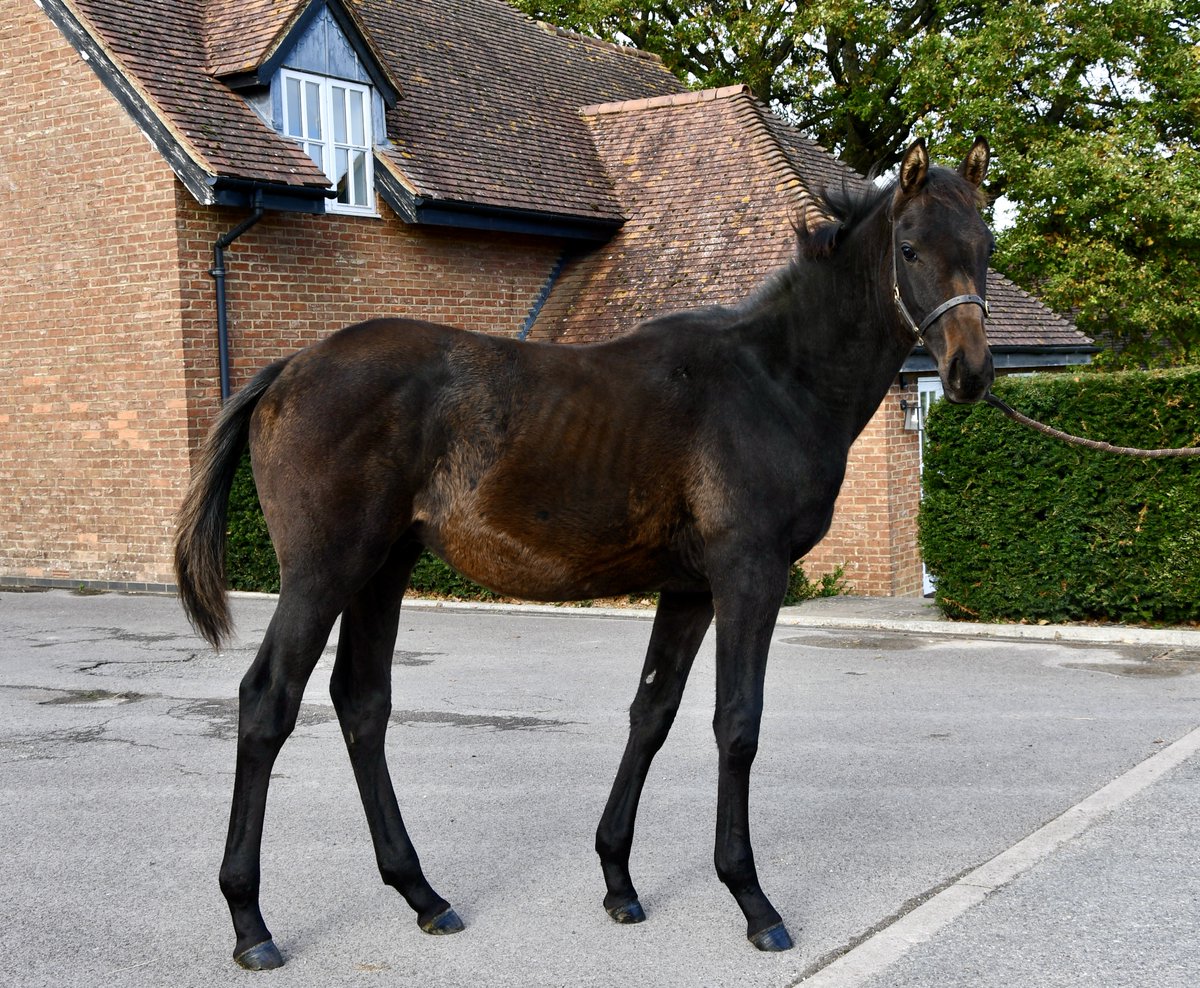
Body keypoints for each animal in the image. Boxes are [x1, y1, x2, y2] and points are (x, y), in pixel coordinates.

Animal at [175, 137, 995, 970]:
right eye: (910, 248)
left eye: (986, 248)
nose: (970, 371)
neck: (773, 379)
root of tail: (288, 369)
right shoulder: (749, 575)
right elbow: (737, 723)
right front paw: (751, 899)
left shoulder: (690, 589)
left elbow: (652, 713)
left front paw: (618, 879)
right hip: (324, 572)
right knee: (268, 701)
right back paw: (251, 922)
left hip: (383, 566)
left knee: (361, 702)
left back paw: (422, 894)